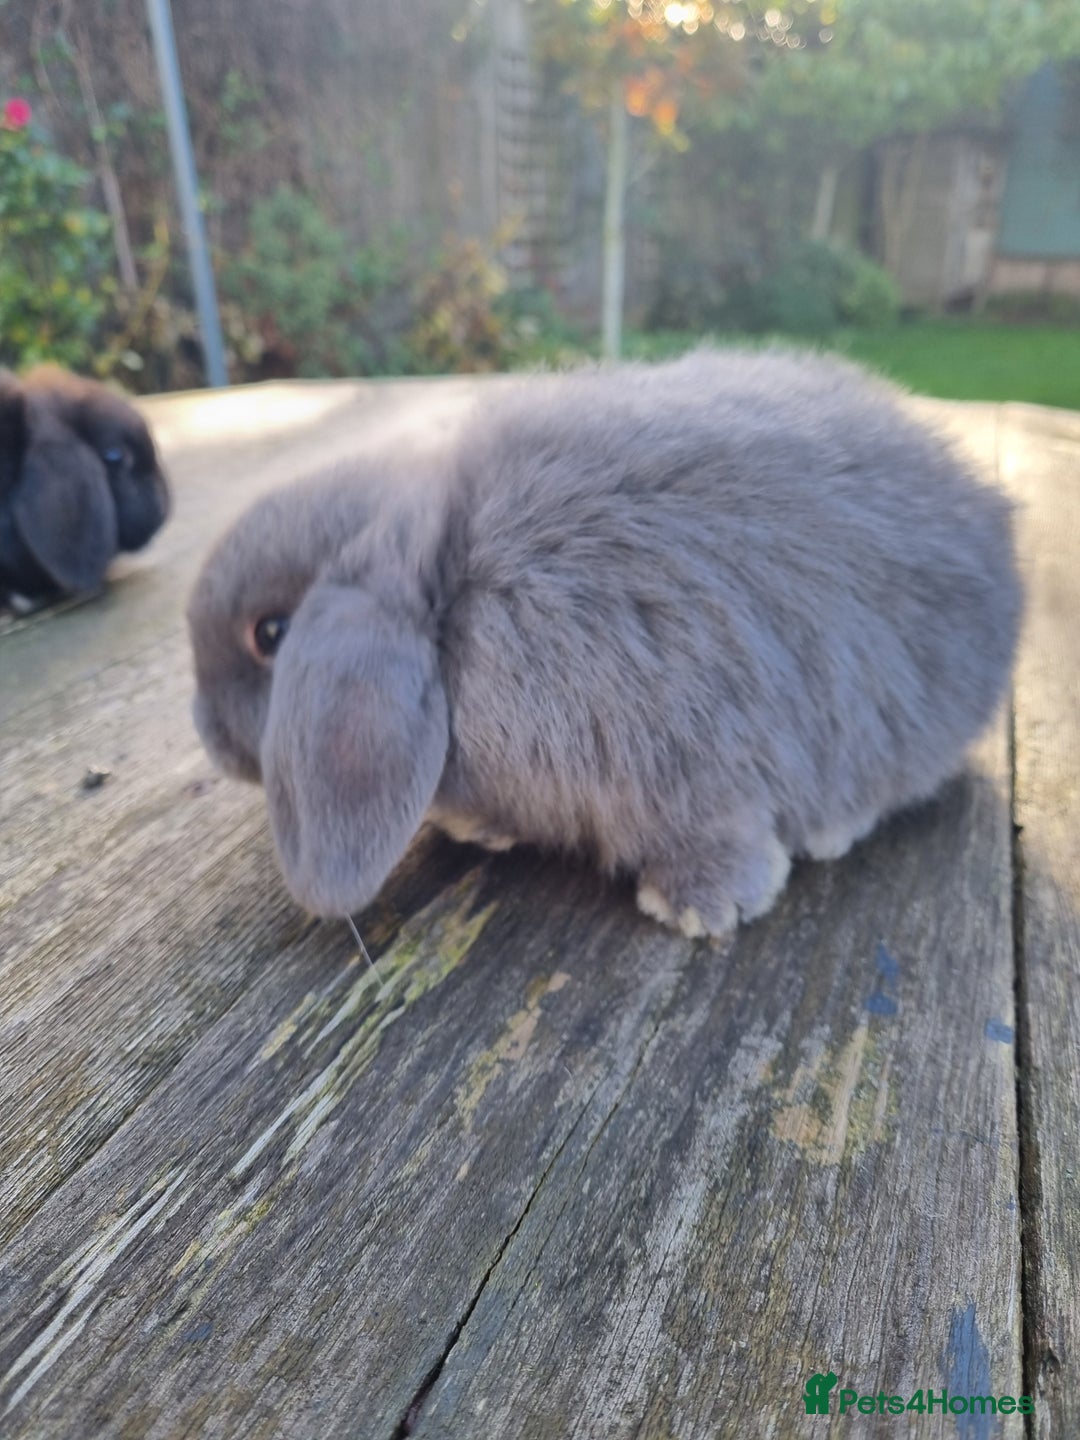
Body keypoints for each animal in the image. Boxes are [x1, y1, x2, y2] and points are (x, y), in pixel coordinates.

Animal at [187, 346, 1021, 938]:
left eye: (270, 635)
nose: (207, 735)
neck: (453, 587)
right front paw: (477, 826)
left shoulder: (691, 762)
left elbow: (720, 836)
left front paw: (701, 908)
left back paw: (827, 832)